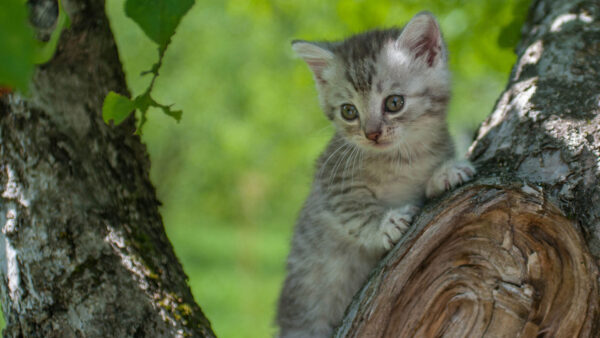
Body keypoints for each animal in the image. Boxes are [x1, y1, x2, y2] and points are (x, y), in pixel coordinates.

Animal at [278, 11, 476, 336]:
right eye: (348, 111)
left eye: (394, 102)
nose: (371, 133)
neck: (399, 159)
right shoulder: (332, 181)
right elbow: (354, 211)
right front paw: (386, 223)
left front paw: (445, 173)